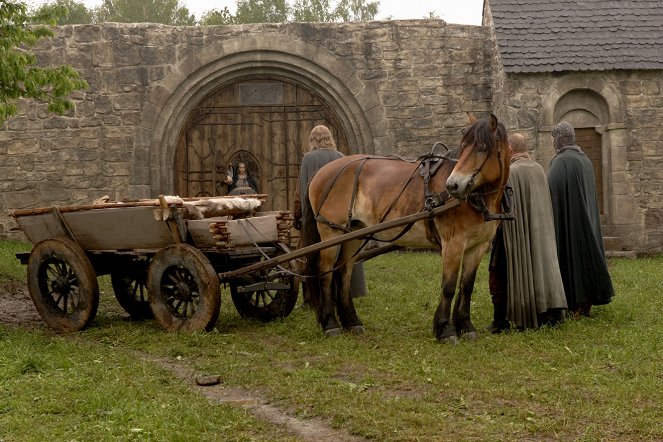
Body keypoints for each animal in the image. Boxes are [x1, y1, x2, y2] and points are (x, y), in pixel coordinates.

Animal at [304, 114, 510, 346]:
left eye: (482, 148)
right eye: (464, 146)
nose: (452, 186)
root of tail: (322, 171)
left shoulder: (478, 247)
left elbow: (467, 286)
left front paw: (466, 326)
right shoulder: (453, 243)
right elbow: (448, 287)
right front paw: (445, 329)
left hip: (352, 232)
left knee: (344, 271)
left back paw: (352, 321)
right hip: (330, 231)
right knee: (326, 272)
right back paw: (330, 324)